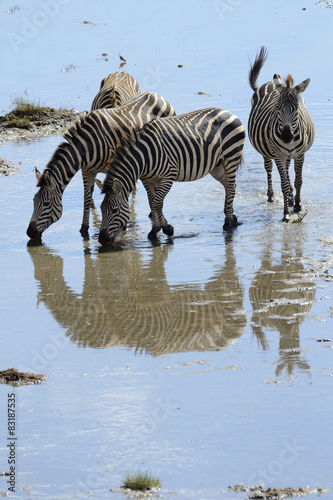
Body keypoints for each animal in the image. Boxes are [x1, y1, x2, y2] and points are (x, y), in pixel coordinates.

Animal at [26, 92, 175, 240]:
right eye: (33, 200)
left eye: (46, 203)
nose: (30, 233)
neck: (87, 146)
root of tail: (155, 95)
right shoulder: (86, 171)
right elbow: (86, 199)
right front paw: (84, 228)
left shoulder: (114, 166)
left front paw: (122, 226)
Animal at [97, 108, 245, 246]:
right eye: (101, 209)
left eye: (114, 210)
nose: (102, 240)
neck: (144, 157)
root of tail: (227, 111)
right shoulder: (148, 180)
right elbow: (152, 203)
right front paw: (155, 230)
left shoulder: (168, 177)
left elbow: (157, 203)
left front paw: (166, 228)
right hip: (216, 166)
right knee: (229, 186)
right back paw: (232, 216)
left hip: (231, 157)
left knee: (231, 186)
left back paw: (228, 223)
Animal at [248, 46, 316, 221]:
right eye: (277, 108)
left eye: (297, 109)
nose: (286, 136)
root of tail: (269, 83)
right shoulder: (278, 155)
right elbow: (284, 185)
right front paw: (286, 212)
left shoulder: (300, 154)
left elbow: (298, 181)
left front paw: (297, 205)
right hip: (267, 152)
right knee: (269, 169)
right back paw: (271, 196)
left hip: (288, 155)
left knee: (287, 171)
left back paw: (291, 198)